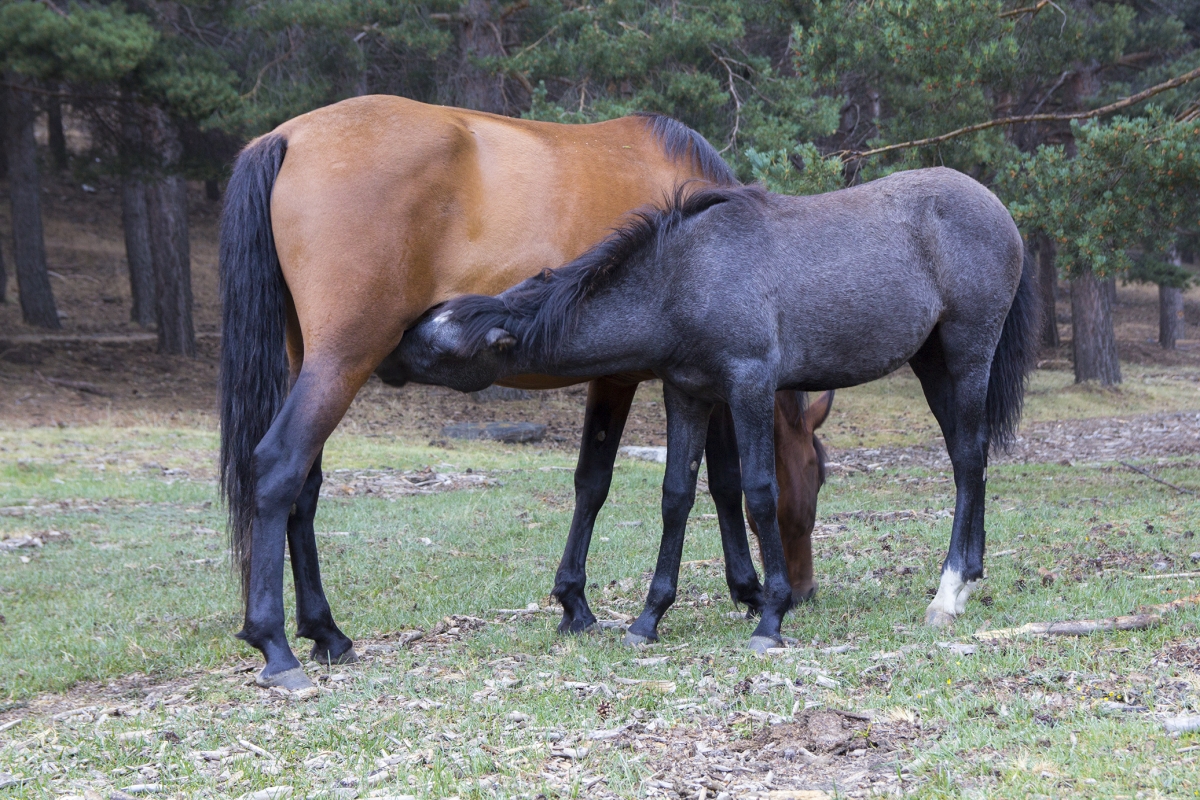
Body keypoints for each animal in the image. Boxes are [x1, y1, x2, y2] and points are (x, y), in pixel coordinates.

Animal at [218, 97, 825, 690]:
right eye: (817, 478)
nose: (806, 590)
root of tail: (289, 136)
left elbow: (593, 483)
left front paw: (574, 603)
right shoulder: (658, 377)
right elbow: (707, 482)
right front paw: (748, 590)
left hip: (312, 363)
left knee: (305, 487)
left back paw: (325, 632)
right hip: (342, 361)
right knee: (279, 466)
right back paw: (275, 645)